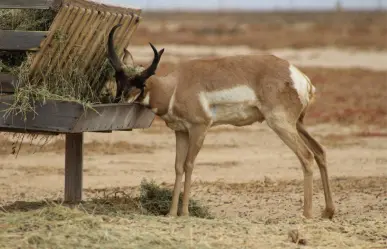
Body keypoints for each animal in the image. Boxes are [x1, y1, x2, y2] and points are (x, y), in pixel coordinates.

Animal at [107, 23, 336, 218]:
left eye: (140, 83)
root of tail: (299, 76)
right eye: (119, 78)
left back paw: (306, 214)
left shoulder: (200, 128)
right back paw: (328, 212)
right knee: (319, 152)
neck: (176, 85)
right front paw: (171, 213)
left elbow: (189, 164)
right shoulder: (180, 132)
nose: (118, 102)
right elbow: (178, 166)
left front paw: (185, 213)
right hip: (298, 124)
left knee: (306, 156)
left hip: (281, 124)